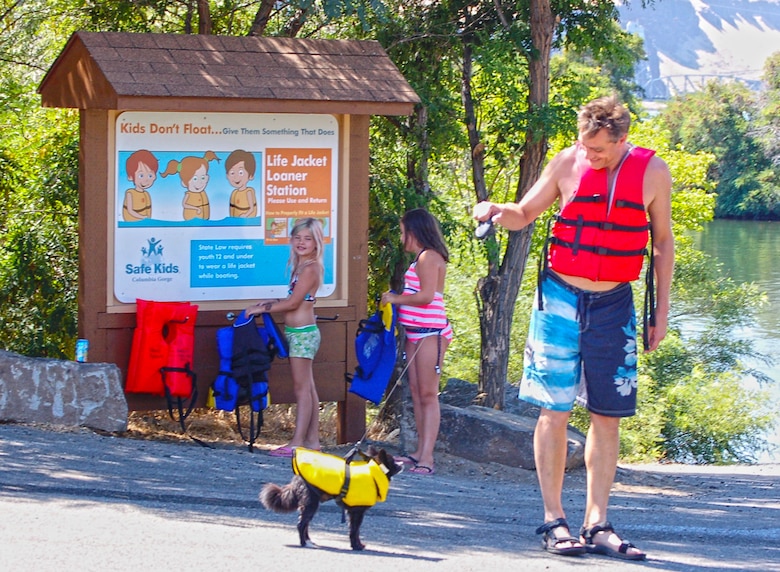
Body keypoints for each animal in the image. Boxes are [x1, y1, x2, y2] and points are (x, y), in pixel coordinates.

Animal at [258, 446, 402, 548]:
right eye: (394, 462)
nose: (402, 463)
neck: (375, 471)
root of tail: (297, 479)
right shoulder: (357, 512)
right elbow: (355, 530)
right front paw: (357, 546)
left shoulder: (351, 512)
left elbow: (353, 530)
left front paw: (356, 545)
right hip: (311, 504)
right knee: (301, 524)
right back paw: (304, 544)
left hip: (310, 505)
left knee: (305, 524)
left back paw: (308, 541)